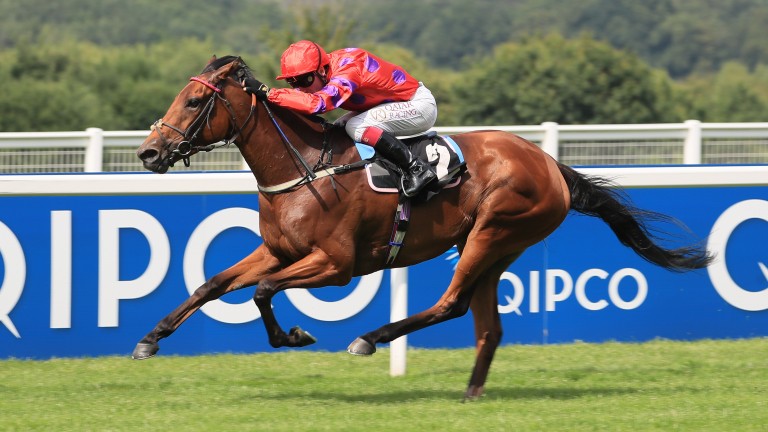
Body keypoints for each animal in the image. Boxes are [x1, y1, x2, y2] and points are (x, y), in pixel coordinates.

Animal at [134, 55, 712, 400]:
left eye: (193, 101)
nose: (148, 153)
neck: (306, 168)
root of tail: (549, 164)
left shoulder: (336, 265)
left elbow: (262, 291)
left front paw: (293, 335)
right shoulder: (279, 250)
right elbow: (214, 284)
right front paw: (150, 339)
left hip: (494, 231)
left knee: (452, 304)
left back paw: (369, 338)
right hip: (495, 247)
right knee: (486, 324)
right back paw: (470, 394)